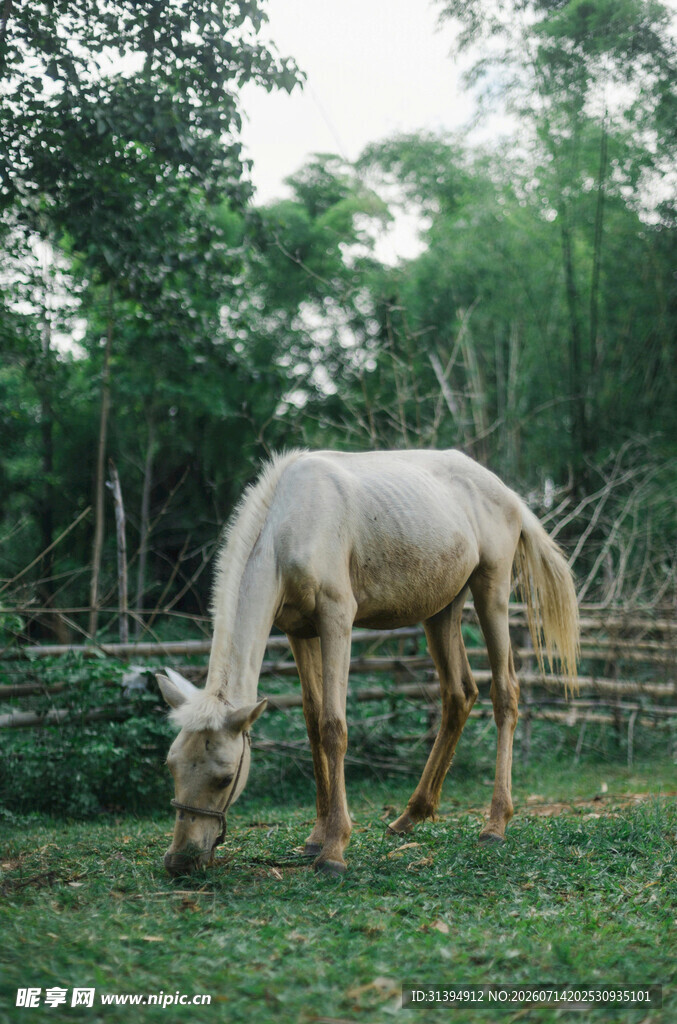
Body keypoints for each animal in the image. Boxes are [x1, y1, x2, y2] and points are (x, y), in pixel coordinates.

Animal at [157, 449, 579, 877]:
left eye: (225, 778)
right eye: (172, 766)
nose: (180, 860)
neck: (291, 522)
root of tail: (508, 493)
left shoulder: (337, 619)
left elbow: (333, 726)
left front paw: (333, 850)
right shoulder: (299, 631)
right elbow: (313, 723)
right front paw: (315, 838)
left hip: (491, 590)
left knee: (505, 694)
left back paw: (494, 826)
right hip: (441, 610)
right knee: (459, 694)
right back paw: (410, 816)